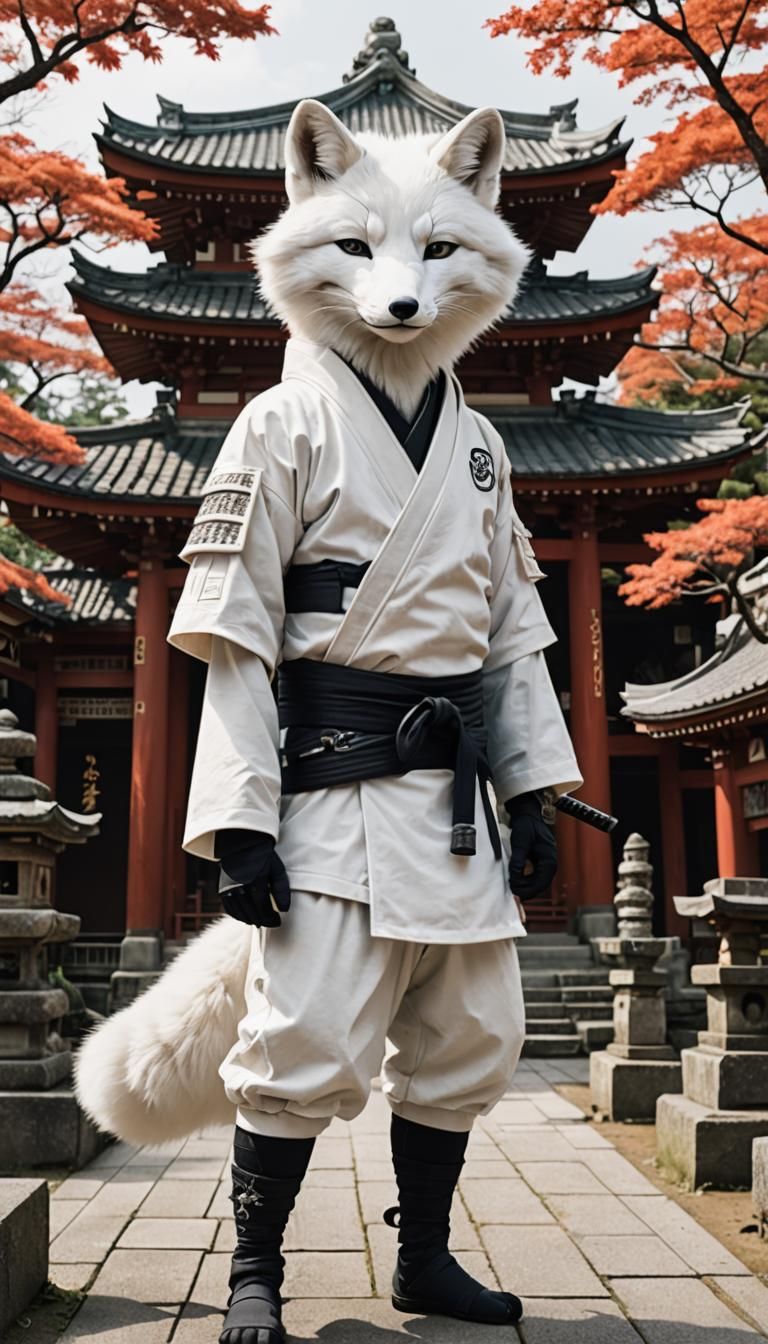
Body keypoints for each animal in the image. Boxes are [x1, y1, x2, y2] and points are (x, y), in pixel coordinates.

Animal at [75, 97, 531, 1147]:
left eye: (439, 249)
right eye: (354, 247)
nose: (401, 308)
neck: (394, 385)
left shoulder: (503, 538)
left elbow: (515, 640)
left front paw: (535, 823)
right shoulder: (252, 467)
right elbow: (237, 638)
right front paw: (243, 865)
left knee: (456, 1070)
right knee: (298, 1074)